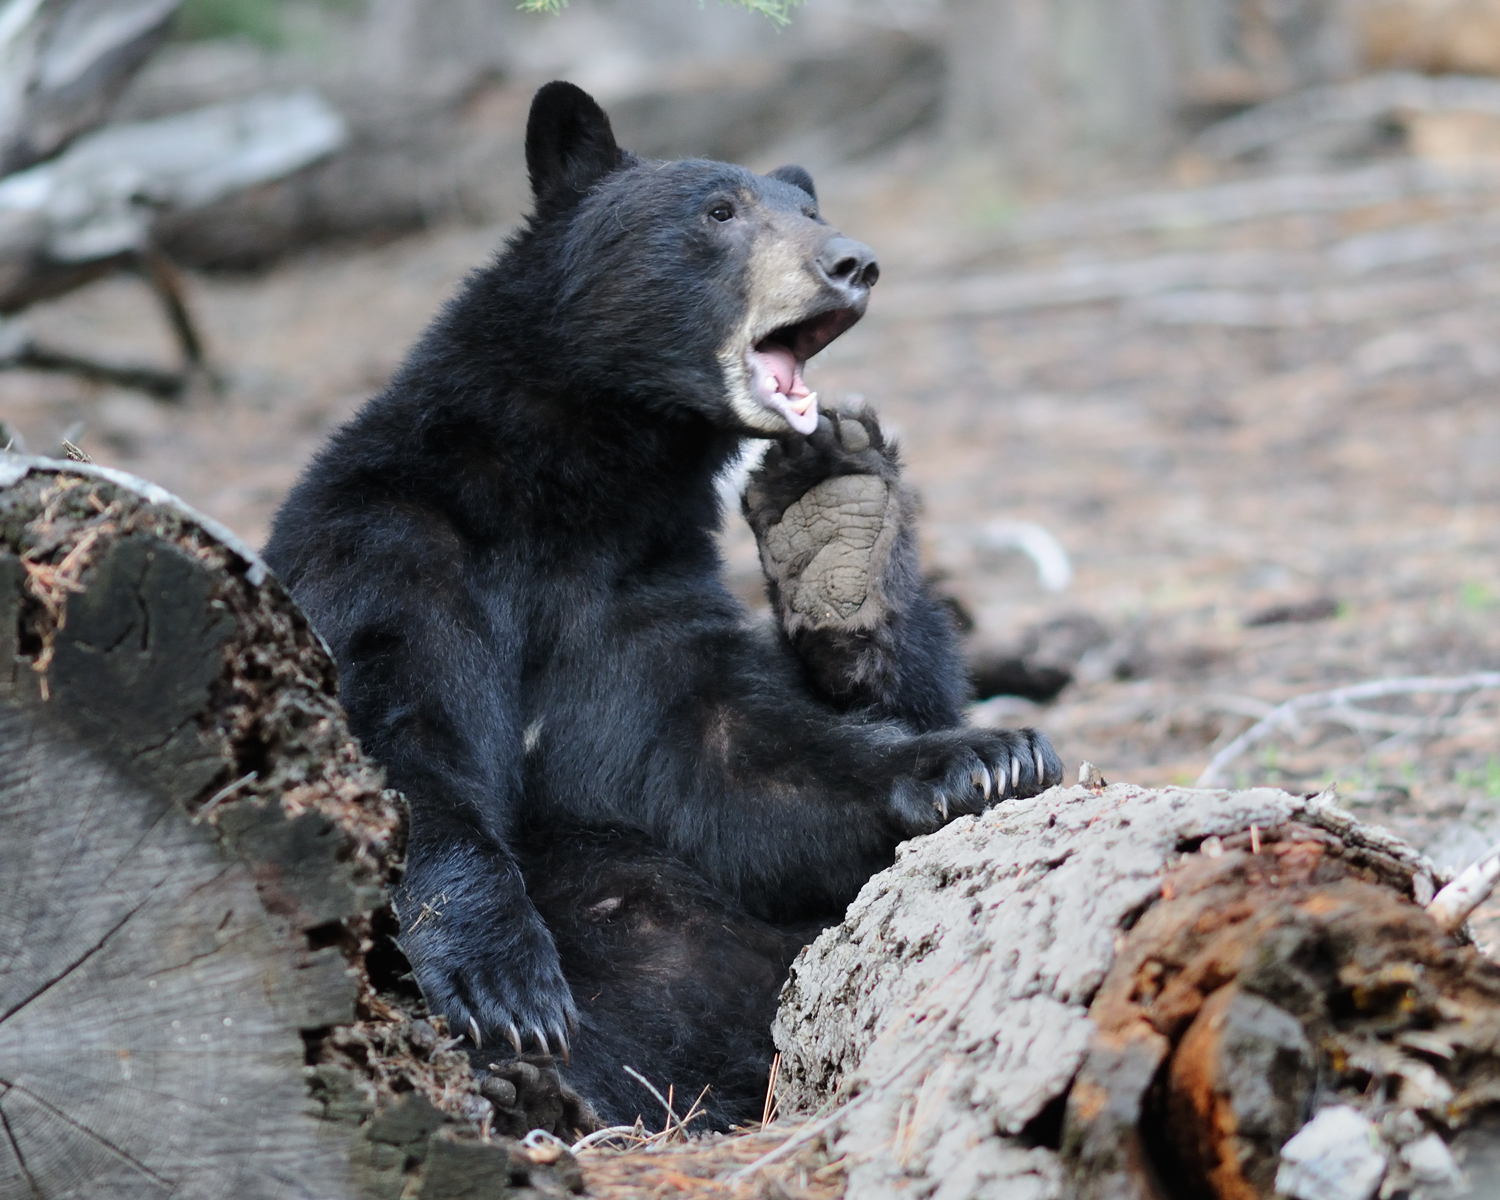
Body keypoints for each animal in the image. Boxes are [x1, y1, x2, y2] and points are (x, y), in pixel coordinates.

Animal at [270, 79, 1068, 1128]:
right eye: (719, 212)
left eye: (807, 208)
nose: (851, 262)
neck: (567, 502)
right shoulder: (387, 546)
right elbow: (399, 744)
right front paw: (503, 983)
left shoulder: (637, 604)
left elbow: (738, 761)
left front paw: (985, 754)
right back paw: (523, 1084)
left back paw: (838, 515)